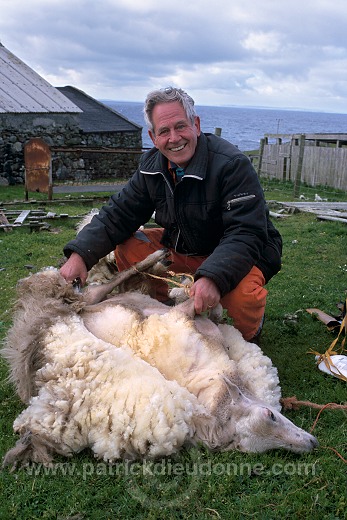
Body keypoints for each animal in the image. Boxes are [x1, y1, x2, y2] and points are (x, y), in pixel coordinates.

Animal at [2, 249, 318, 468]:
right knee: (115, 278)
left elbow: (210, 308)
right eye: (270, 415)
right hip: (89, 298)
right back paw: (157, 257)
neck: (210, 378)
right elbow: (200, 303)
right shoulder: (183, 318)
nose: (312, 443)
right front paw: (188, 289)